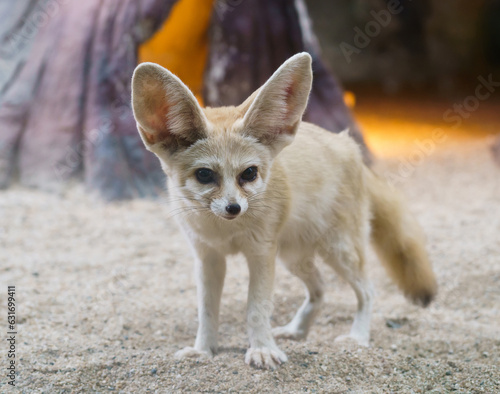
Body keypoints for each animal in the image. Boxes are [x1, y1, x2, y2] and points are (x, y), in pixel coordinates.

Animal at [131, 51, 436, 370]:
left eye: (249, 173)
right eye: (204, 175)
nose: (233, 207)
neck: (226, 230)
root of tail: (347, 145)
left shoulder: (261, 253)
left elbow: (257, 307)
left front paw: (262, 349)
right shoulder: (208, 256)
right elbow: (207, 311)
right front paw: (203, 350)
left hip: (339, 252)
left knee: (367, 290)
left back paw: (357, 338)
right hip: (294, 257)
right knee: (320, 289)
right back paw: (296, 331)